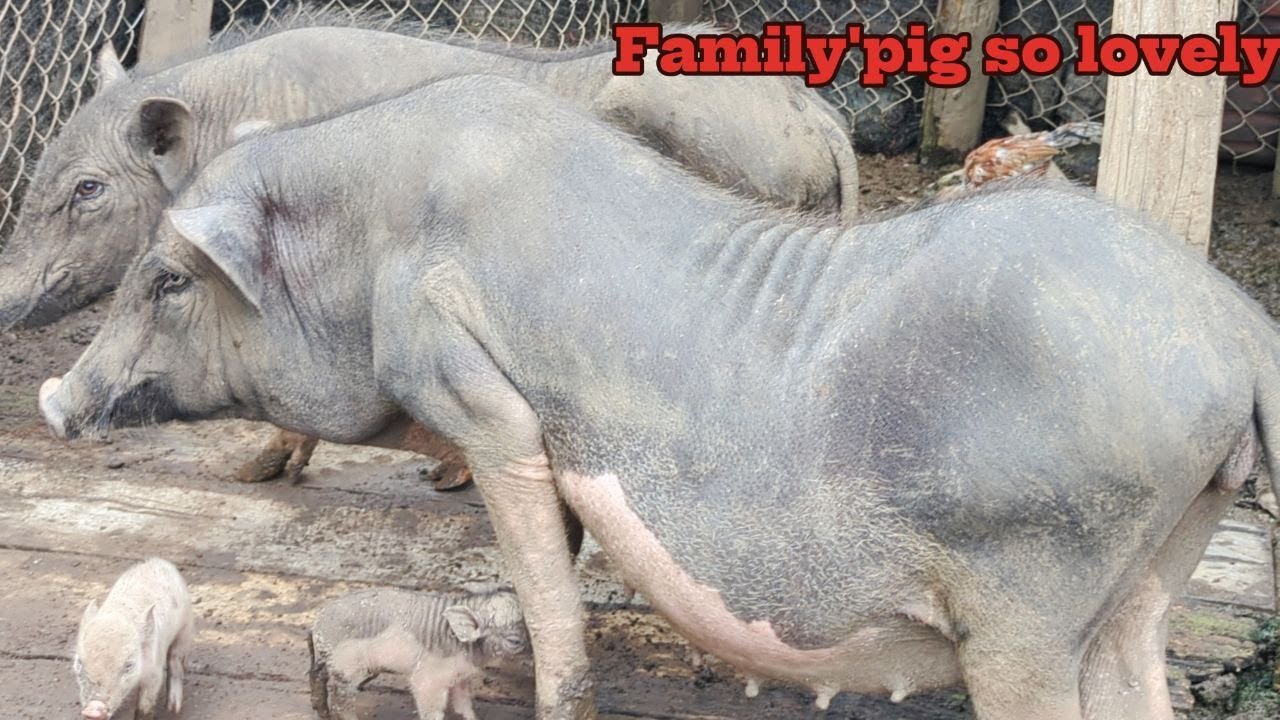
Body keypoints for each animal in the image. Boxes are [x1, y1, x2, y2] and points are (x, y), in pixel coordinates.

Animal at [73, 558, 195, 720]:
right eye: (79, 663)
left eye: (129, 666)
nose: (94, 708)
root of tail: (158, 560)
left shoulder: (154, 671)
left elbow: (146, 704)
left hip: (186, 628)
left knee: (176, 661)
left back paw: (173, 709)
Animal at [308, 586, 529, 720]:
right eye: (514, 641)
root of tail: (317, 621)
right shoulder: (428, 679)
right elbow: (433, 711)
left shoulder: (461, 677)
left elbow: (464, 707)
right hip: (346, 670)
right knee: (340, 700)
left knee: (317, 677)